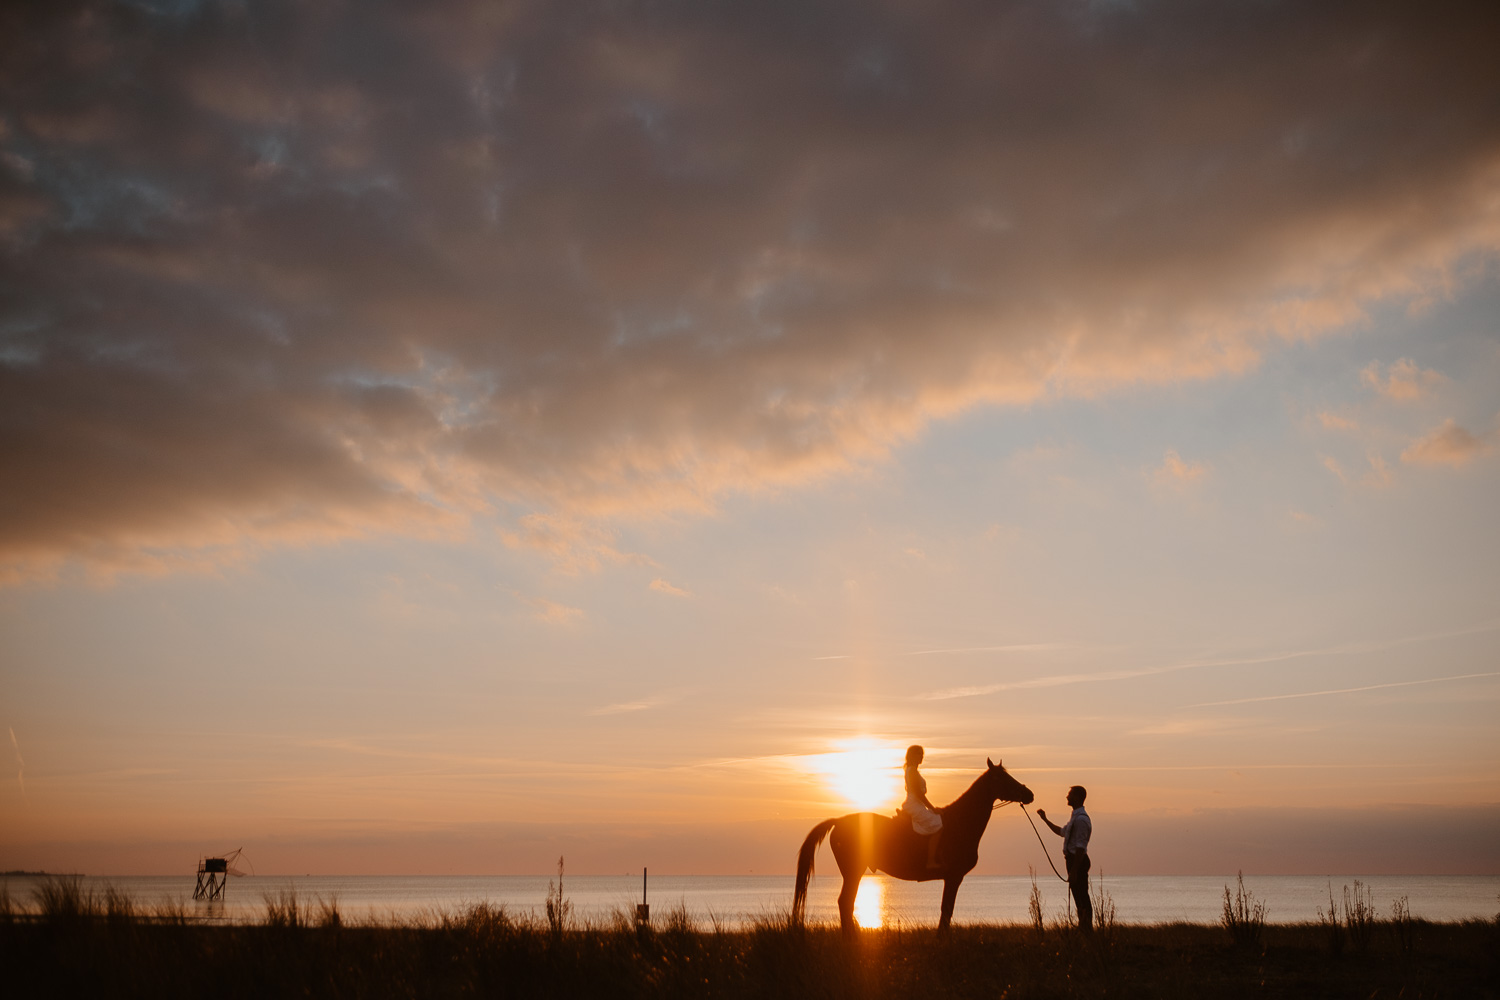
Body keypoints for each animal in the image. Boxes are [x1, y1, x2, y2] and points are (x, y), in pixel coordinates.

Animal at [792, 758, 1034, 932]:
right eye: (1002, 778)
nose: (1029, 794)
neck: (960, 822)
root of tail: (839, 820)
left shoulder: (953, 878)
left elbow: (947, 911)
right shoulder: (954, 877)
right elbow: (946, 911)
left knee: (847, 903)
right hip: (853, 871)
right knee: (845, 903)